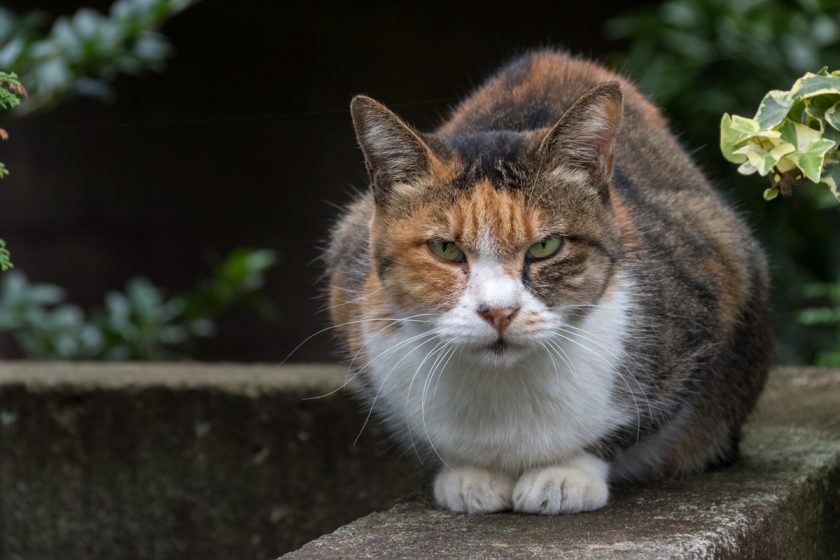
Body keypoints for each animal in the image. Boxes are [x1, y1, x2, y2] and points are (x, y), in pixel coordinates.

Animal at [324, 50, 772, 516]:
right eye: (445, 249)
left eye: (545, 247)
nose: (498, 312)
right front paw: (471, 475)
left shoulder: (711, 282)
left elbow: (630, 426)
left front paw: (564, 475)